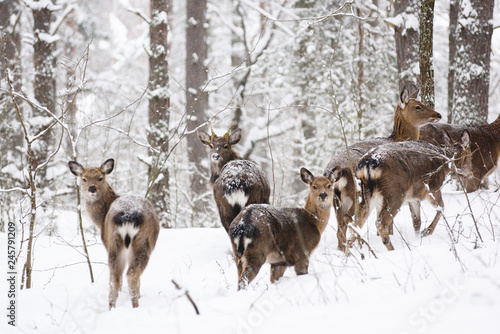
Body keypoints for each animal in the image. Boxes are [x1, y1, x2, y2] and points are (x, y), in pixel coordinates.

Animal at [67, 158, 159, 310]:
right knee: (130, 275)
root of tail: (127, 216)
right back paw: (134, 306)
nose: (92, 188)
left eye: (100, 178)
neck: (101, 220)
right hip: (142, 242)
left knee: (115, 278)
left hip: (114, 241)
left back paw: (113, 308)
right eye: (84, 178)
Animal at [322, 87, 440, 252]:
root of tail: (332, 172)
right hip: (355, 196)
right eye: (418, 106)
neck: (398, 138)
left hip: (336, 200)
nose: (438, 115)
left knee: (342, 227)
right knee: (350, 221)